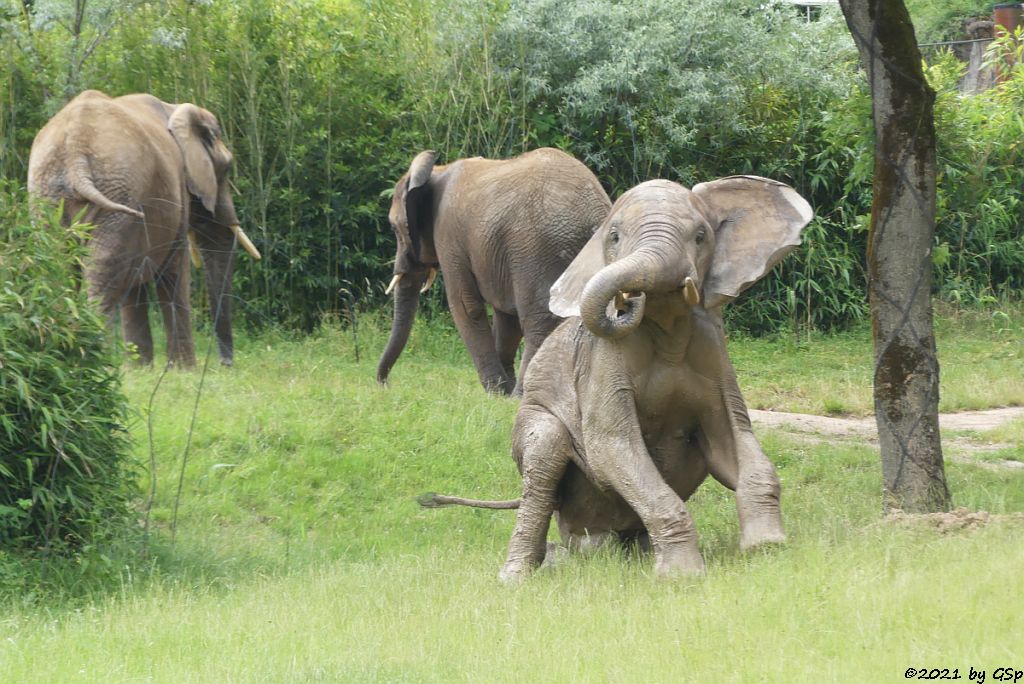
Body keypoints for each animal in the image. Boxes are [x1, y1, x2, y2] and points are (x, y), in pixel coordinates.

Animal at [28, 92, 262, 368]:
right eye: (226, 169)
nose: (225, 364)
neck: (176, 109)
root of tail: (75, 149)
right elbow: (173, 270)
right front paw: (184, 370)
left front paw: (141, 368)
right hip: (119, 193)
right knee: (102, 266)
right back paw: (98, 359)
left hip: (50, 197)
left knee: (61, 266)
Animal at [378, 149, 610, 395]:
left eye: (394, 228)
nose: (385, 385)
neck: (436, 171)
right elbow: (506, 318)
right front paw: (503, 391)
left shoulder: (449, 237)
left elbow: (465, 306)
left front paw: (496, 392)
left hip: (539, 248)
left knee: (539, 320)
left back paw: (523, 394)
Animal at [419, 175, 811, 581]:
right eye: (615, 237)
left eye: (701, 236)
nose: (628, 299)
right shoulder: (604, 358)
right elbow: (612, 444)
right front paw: (682, 575)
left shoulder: (712, 348)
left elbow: (732, 439)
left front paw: (767, 549)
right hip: (539, 432)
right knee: (544, 459)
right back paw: (518, 577)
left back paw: (632, 555)